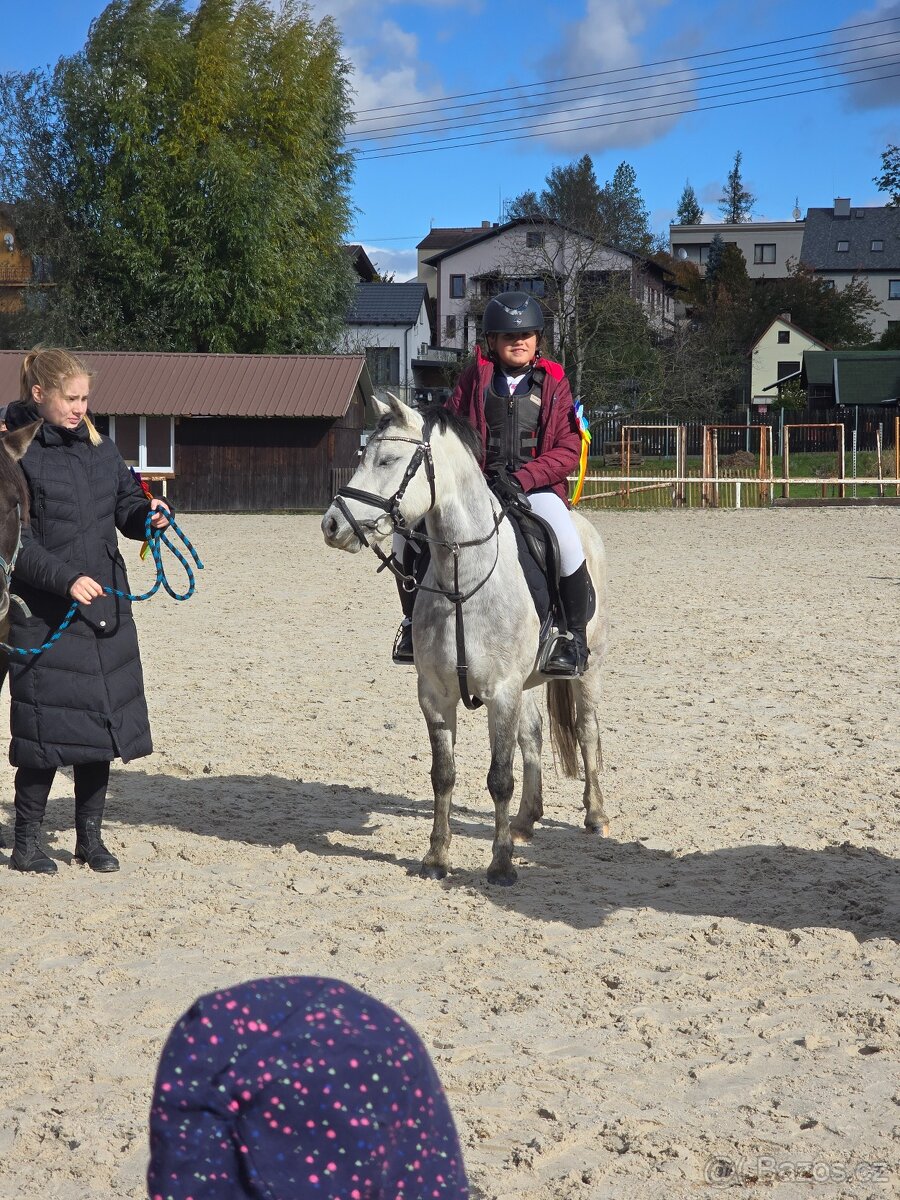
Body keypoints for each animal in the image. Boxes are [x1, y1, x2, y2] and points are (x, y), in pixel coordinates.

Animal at [321, 394, 609, 886]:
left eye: (388, 460)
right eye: (363, 456)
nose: (332, 525)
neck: (463, 578)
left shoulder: (502, 693)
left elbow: (499, 778)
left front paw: (500, 864)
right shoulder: (437, 695)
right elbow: (444, 774)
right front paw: (437, 857)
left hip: (586, 670)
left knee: (587, 729)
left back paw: (596, 815)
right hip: (526, 684)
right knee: (532, 736)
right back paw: (526, 820)